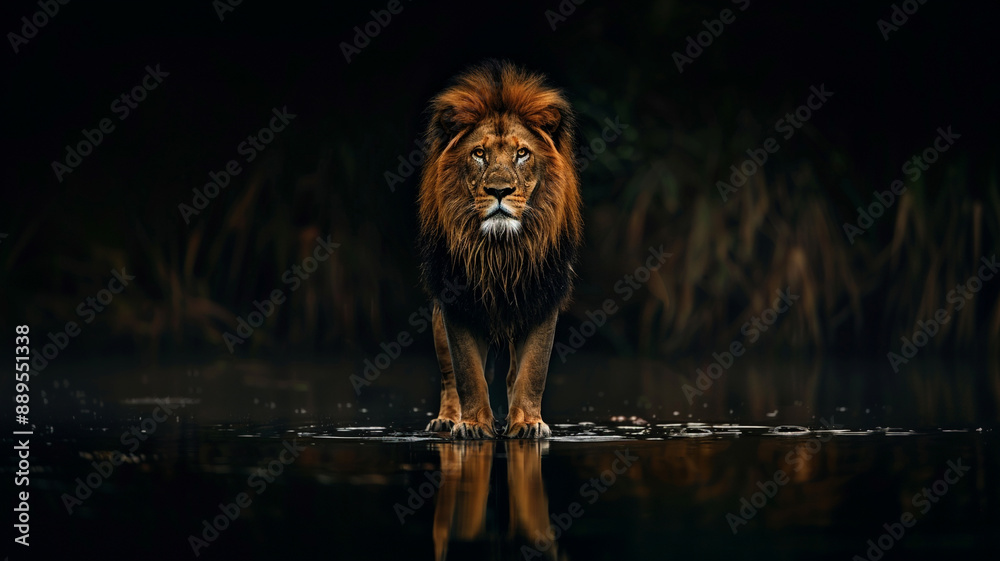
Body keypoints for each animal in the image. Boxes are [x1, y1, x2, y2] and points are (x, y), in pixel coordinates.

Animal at [417, 60, 582, 439]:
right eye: (479, 154)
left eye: (522, 153)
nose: (499, 190)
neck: (501, 253)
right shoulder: (456, 304)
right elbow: (467, 374)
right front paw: (473, 425)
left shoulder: (542, 298)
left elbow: (533, 371)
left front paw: (528, 423)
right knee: (449, 377)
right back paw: (447, 419)